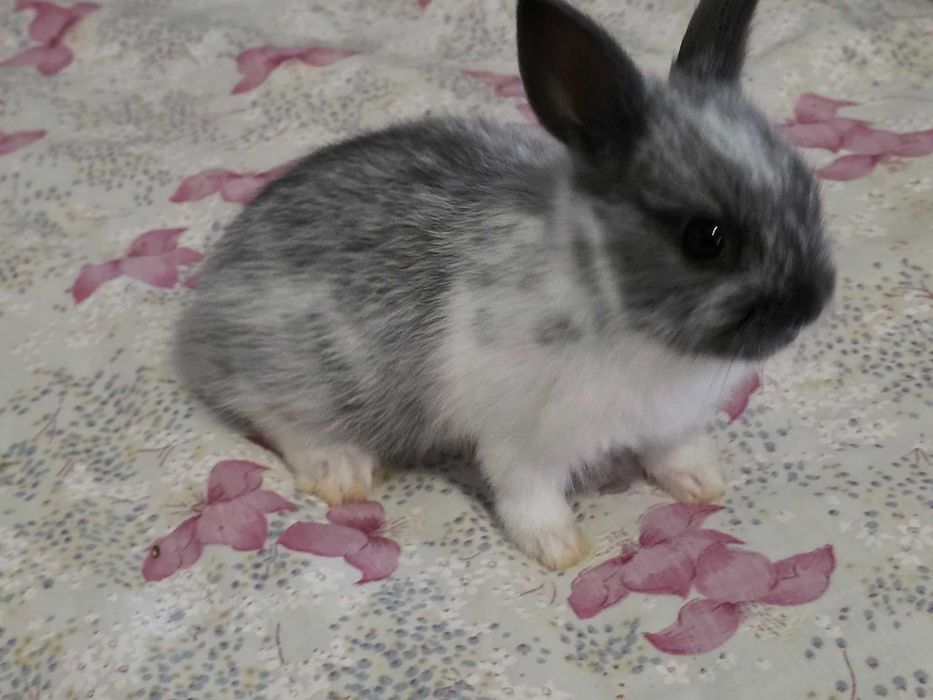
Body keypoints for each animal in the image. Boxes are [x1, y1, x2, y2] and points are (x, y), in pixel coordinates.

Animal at [175, 0, 835, 570]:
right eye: (706, 238)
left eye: (808, 188)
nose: (808, 305)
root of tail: (206, 309)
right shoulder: (522, 438)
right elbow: (529, 497)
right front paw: (560, 549)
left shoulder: (669, 422)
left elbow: (674, 451)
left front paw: (704, 485)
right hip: (304, 373)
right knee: (275, 412)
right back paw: (343, 469)